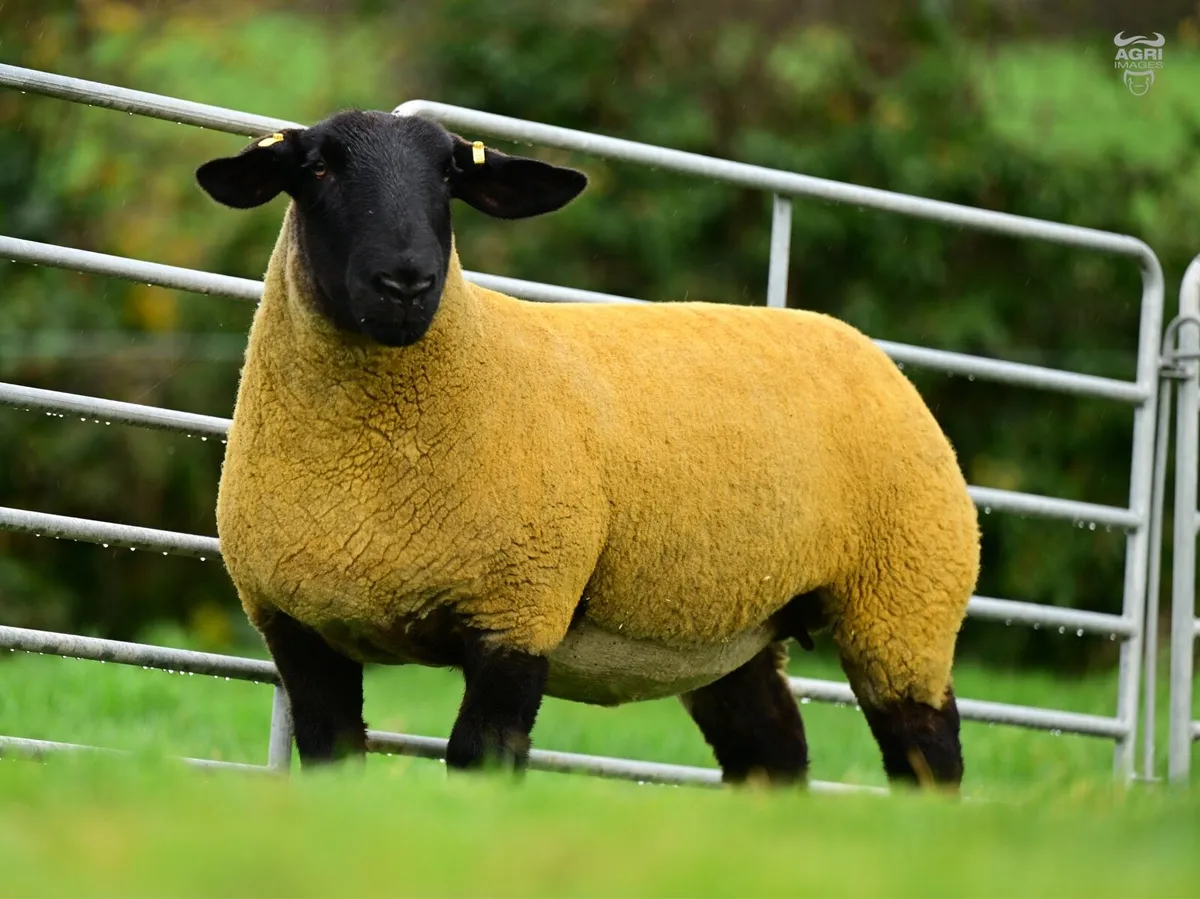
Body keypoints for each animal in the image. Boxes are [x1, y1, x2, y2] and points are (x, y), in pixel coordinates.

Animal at [195, 108, 980, 790]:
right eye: (318, 168)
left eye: (449, 175)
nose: (408, 281)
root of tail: (858, 342)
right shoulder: (296, 627)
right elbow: (332, 761)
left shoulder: (519, 609)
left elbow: (482, 756)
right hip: (736, 625)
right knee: (772, 754)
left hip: (908, 595)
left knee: (927, 755)